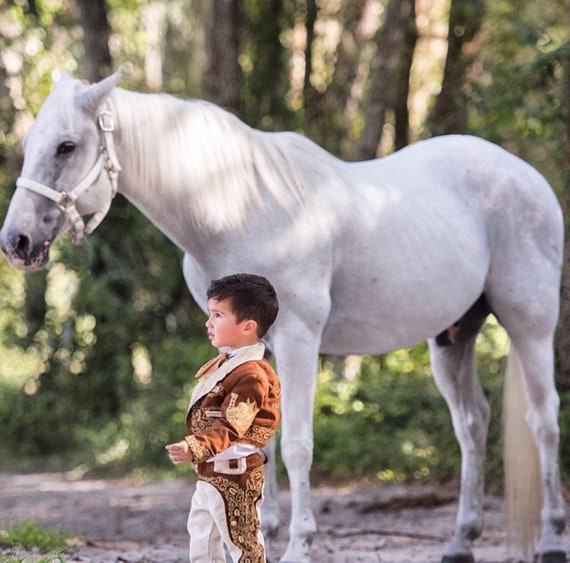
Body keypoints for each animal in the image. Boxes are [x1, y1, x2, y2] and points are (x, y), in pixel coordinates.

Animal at [0, 71, 564, 563]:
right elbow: (252, 438)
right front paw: (257, 534)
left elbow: (296, 446)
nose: (17, 242)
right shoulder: (255, 350)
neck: (240, 207)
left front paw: (299, 545)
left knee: (544, 420)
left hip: (529, 323)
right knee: (472, 424)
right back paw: (460, 542)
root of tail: (527, 176)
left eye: (66, 146)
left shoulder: (298, 338)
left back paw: (553, 539)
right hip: (453, 337)